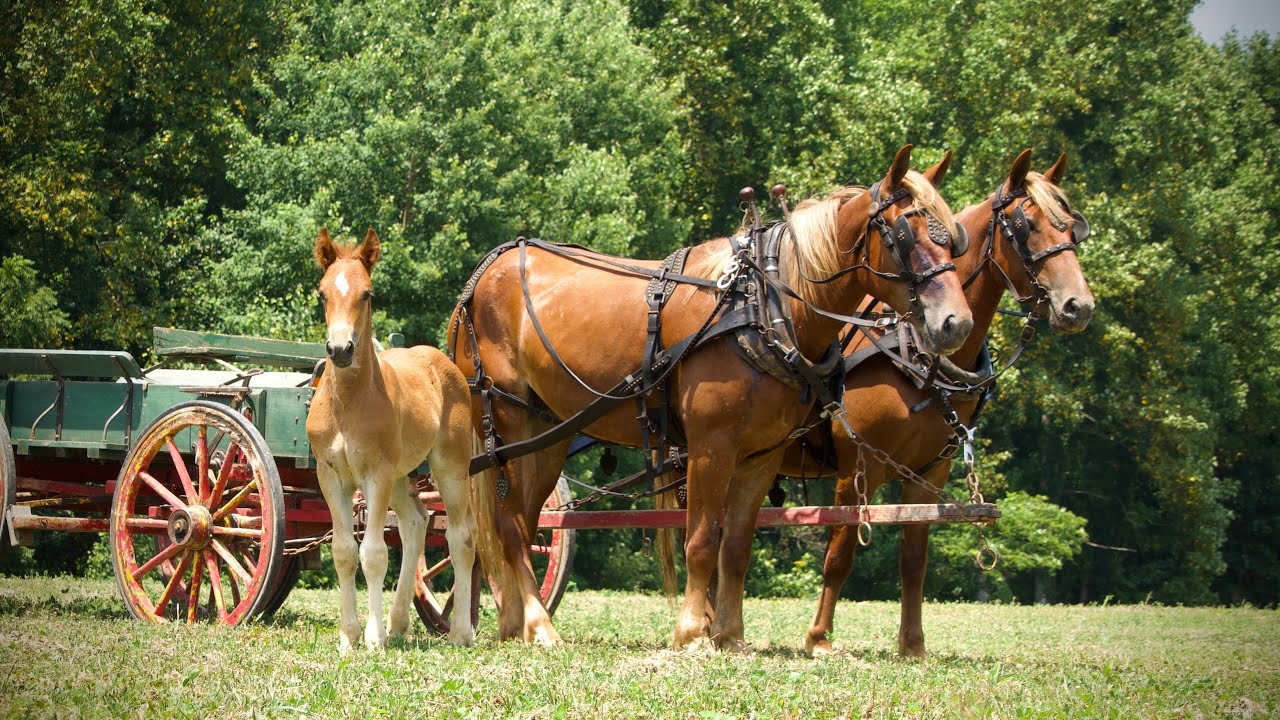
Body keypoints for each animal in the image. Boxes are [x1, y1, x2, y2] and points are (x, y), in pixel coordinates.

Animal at [306, 227, 500, 652]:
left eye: (367, 294)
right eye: (322, 293)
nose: (340, 350)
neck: (348, 403)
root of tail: (446, 364)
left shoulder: (375, 474)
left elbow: (374, 553)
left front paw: (373, 637)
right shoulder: (331, 476)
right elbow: (344, 551)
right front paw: (348, 636)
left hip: (449, 469)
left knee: (462, 537)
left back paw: (460, 632)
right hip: (401, 476)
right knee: (416, 524)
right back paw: (399, 622)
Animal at [452, 145, 974, 650]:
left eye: (954, 238)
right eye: (903, 236)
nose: (957, 323)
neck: (763, 308)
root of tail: (484, 274)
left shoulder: (762, 455)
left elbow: (737, 546)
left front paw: (730, 634)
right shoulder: (711, 446)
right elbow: (702, 540)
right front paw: (691, 633)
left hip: (548, 431)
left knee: (524, 523)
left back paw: (515, 623)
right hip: (504, 420)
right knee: (510, 526)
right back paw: (540, 626)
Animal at [784, 150, 1096, 658]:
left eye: (1071, 226)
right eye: (1025, 226)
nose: (1079, 306)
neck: (915, 354)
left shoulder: (930, 473)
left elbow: (914, 560)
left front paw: (912, 644)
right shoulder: (858, 465)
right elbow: (840, 552)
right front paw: (819, 638)